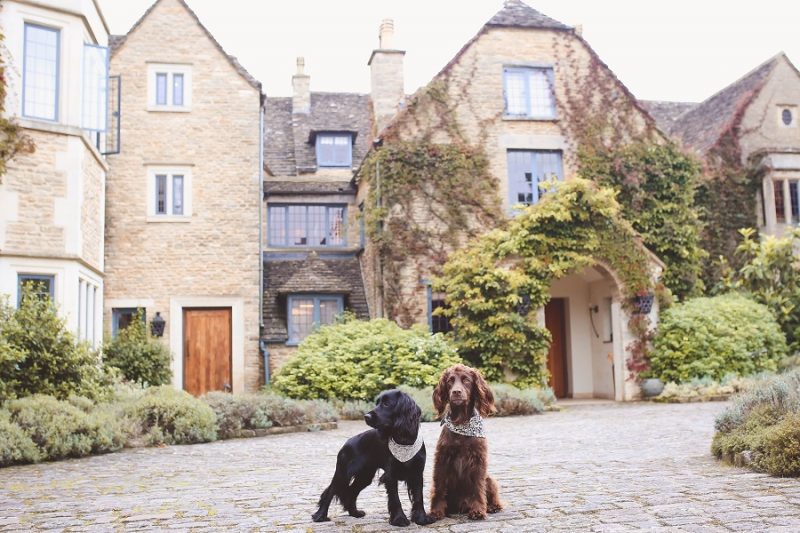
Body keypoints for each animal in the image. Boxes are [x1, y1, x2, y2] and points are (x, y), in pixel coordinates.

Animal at [312, 388, 438, 524]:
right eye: (377, 403)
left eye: (386, 404)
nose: (366, 416)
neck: (404, 441)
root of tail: (348, 442)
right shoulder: (390, 475)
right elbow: (395, 499)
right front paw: (399, 519)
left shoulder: (417, 473)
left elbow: (419, 497)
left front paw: (421, 518)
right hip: (343, 473)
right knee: (330, 492)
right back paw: (320, 516)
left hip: (365, 476)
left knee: (351, 492)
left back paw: (355, 513)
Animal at [428, 364, 504, 516]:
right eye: (450, 381)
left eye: (466, 380)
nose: (456, 392)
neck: (461, 422)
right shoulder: (441, 459)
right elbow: (438, 487)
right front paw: (436, 511)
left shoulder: (478, 460)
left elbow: (478, 487)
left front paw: (478, 510)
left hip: (489, 478)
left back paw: (492, 506)